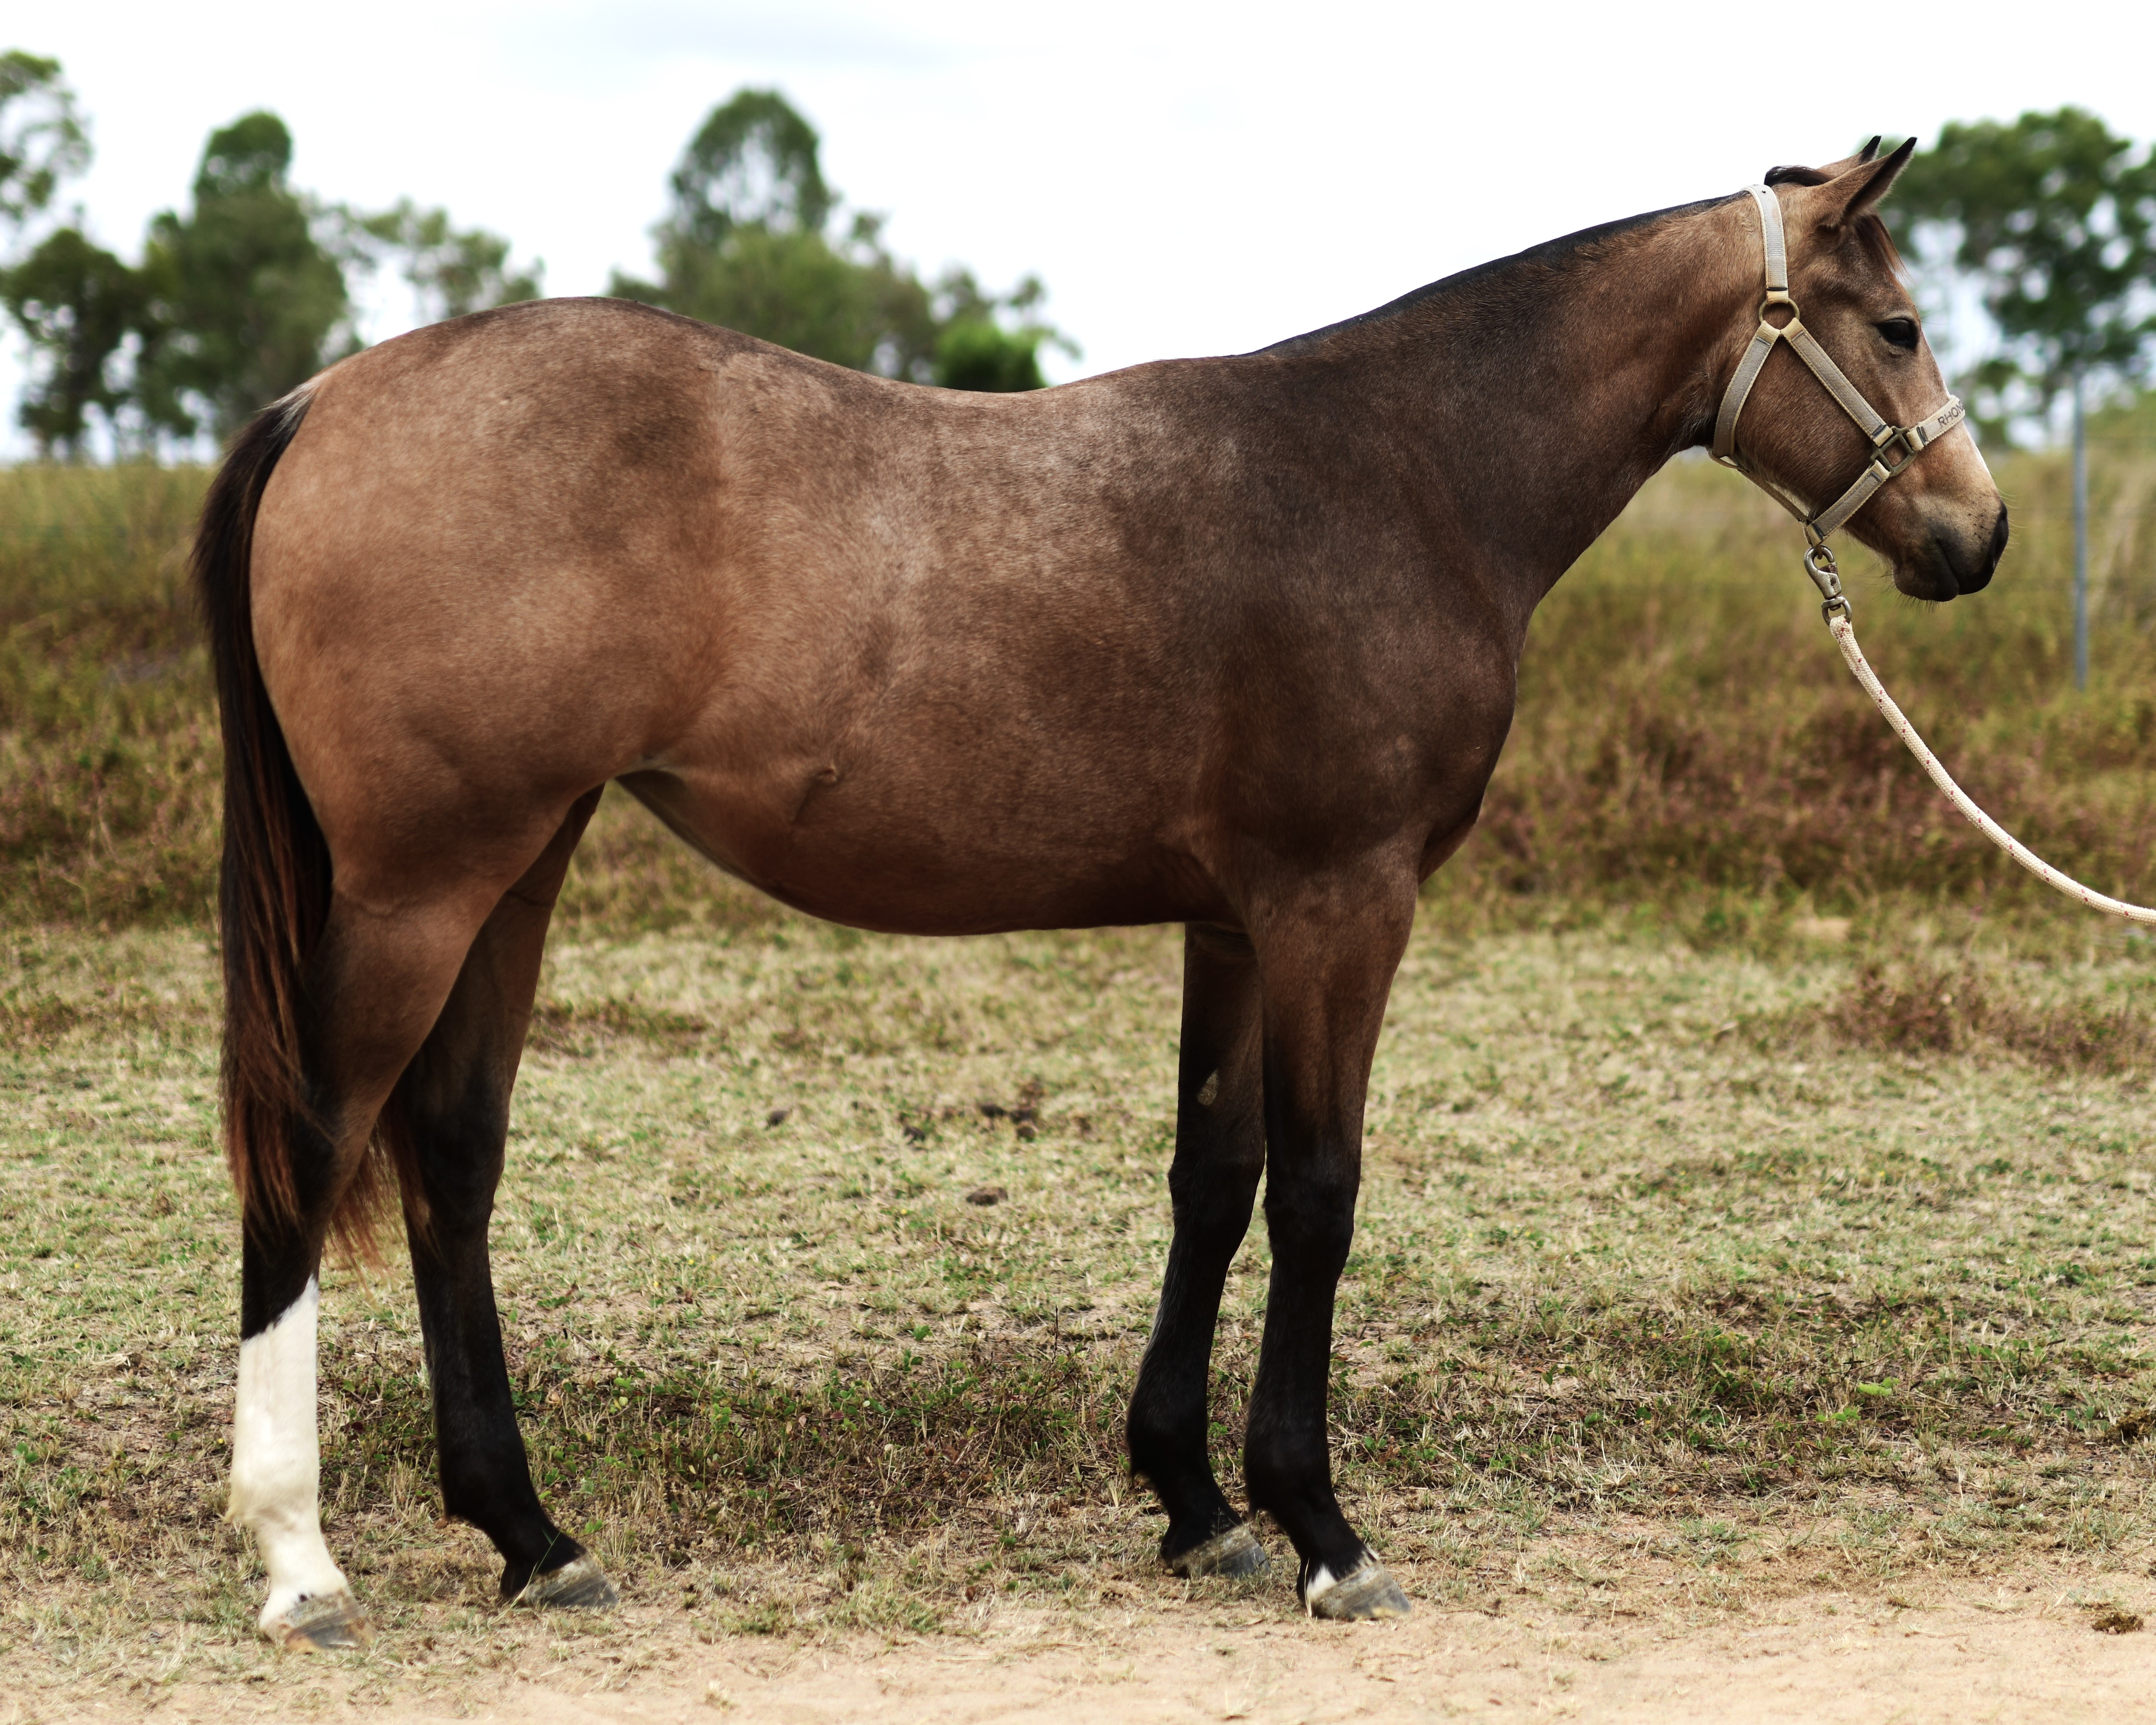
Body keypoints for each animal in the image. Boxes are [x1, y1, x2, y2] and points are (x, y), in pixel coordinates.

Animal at [196, 139, 2005, 1647]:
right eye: (1898, 324)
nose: (1974, 536)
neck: (1402, 474)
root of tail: (324, 399)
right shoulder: (1341, 906)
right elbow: (1320, 1191)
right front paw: (1322, 1529)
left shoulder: (1234, 921)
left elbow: (1212, 1178)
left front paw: (1196, 1503)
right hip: (425, 888)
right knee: (309, 1152)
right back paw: (300, 1559)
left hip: (519, 864)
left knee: (449, 1163)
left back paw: (531, 1535)